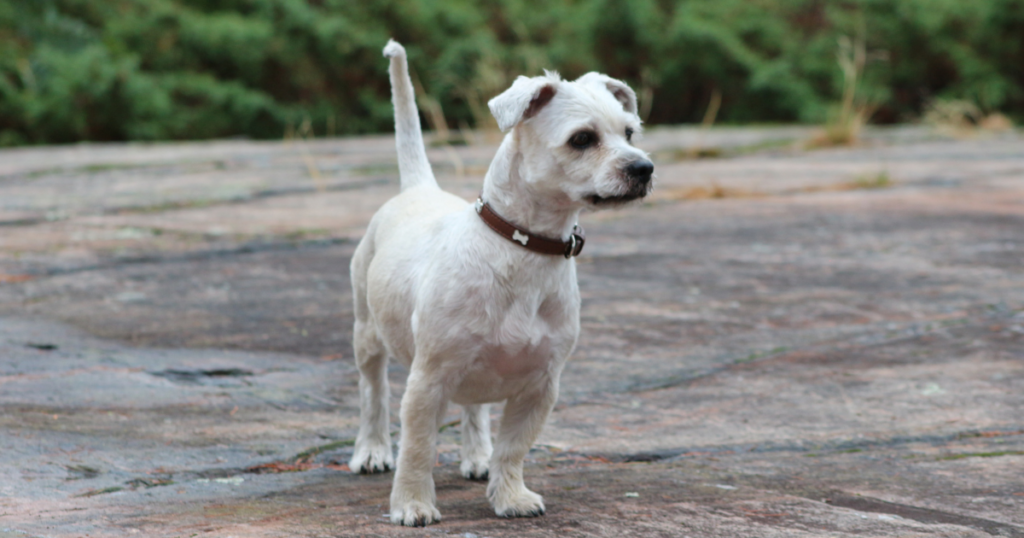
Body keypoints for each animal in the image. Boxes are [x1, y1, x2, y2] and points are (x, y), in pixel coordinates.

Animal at [352, 39, 651, 524]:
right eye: (582, 139)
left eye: (630, 133)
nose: (644, 168)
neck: (523, 249)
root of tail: (419, 188)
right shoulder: (427, 380)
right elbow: (417, 447)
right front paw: (412, 504)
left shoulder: (540, 386)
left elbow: (513, 449)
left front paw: (510, 496)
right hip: (366, 333)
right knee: (372, 393)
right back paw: (372, 451)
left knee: (474, 407)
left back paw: (476, 456)